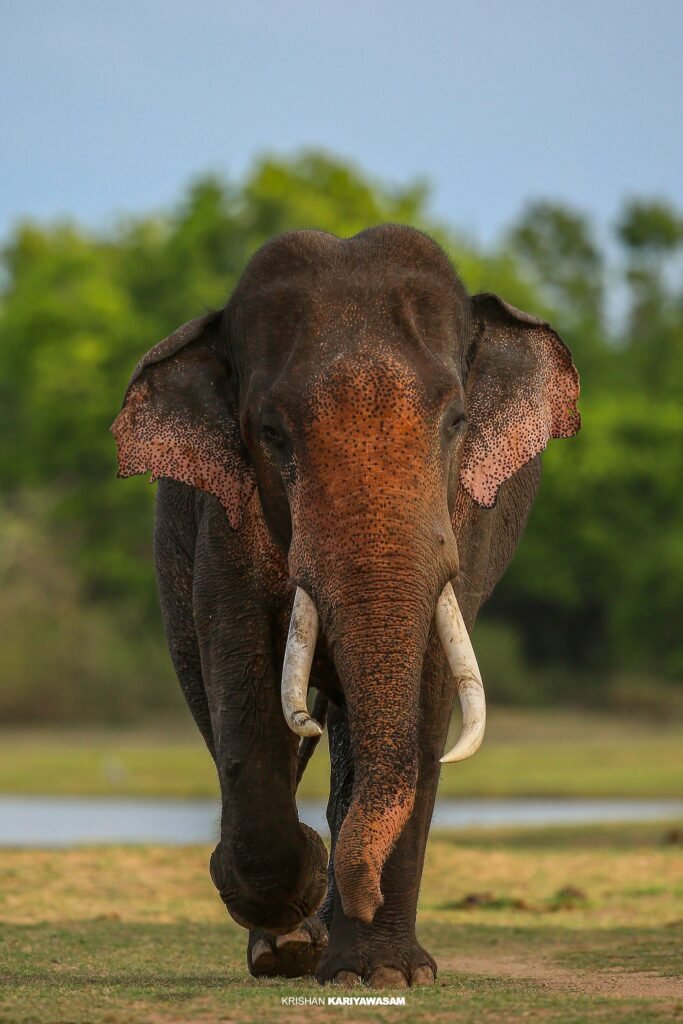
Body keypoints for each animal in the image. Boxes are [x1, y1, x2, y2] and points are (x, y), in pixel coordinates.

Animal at [112, 225, 580, 988]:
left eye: (455, 421)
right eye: (271, 434)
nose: (355, 900)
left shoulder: (460, 525)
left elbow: (423, 693)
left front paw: (381, 975)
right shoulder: (224, 517)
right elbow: (239, 667)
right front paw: (297, 913)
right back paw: (291, 940)